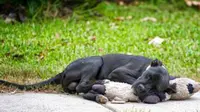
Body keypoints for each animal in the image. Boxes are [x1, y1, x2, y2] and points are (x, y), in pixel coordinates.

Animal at [0, 53, 170, 101]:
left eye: (156, 86)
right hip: (95, 61)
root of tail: (63, 71)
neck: (145, 67)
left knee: (76, 87)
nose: (141, 88)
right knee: (82, 85)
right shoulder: (118, 72)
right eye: (147, 76)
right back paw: (102, 82)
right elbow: (131, 80)